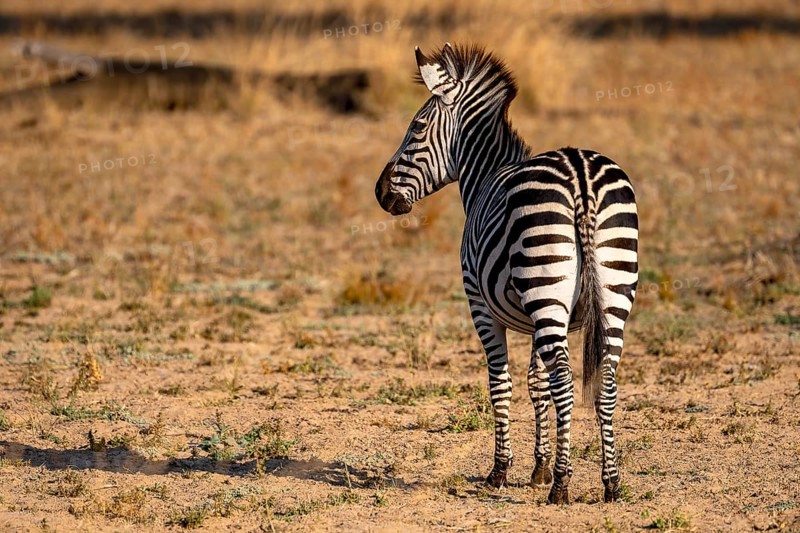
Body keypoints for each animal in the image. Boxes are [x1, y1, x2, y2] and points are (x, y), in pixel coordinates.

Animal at [374, 43, 638, 504]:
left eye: (416, 127)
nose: (380, 193)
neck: (483, 178)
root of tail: (580, 175)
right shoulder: (540, 320)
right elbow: (536, 383)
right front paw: (539, 466)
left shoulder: (480, 304)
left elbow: (502, 382)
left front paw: (502, 469)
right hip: (609, 291)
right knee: (604, 382)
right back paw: (611, 481)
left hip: (545, 290)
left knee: (567, 384)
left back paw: (563, 486)